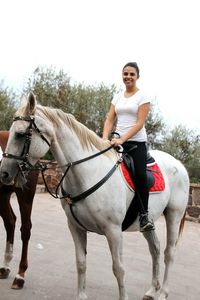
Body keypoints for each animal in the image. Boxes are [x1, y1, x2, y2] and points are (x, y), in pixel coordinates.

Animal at [0, 92, 189, 298]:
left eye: (20, 134)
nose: (4, 173)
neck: (88, 172)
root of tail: (179, 164)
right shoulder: (75, 227)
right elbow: (81, 263)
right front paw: (81, 296)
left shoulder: (114, 231)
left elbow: (118, 269)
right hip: (149, 221)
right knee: (155, 249)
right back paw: (152, 290)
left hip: (174, 215)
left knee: (169, 253)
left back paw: (163, 292)